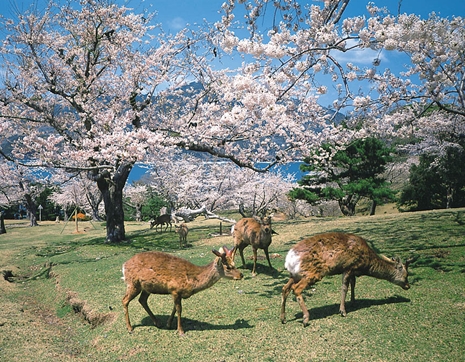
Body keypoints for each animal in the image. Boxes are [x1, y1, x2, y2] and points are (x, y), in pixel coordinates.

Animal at [280, 233, 410, 326]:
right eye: (406, 274)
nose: (408, 286)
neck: (366, 264)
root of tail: (289, 259)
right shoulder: (349, 267)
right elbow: (344, 287)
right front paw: (343, 311)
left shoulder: (353, 271)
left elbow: (353, 284)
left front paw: (353, 301)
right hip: (313, 273)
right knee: (296, 288)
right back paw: (306, 318)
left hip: (295, 275)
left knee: (285, 288)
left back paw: (283, 318)